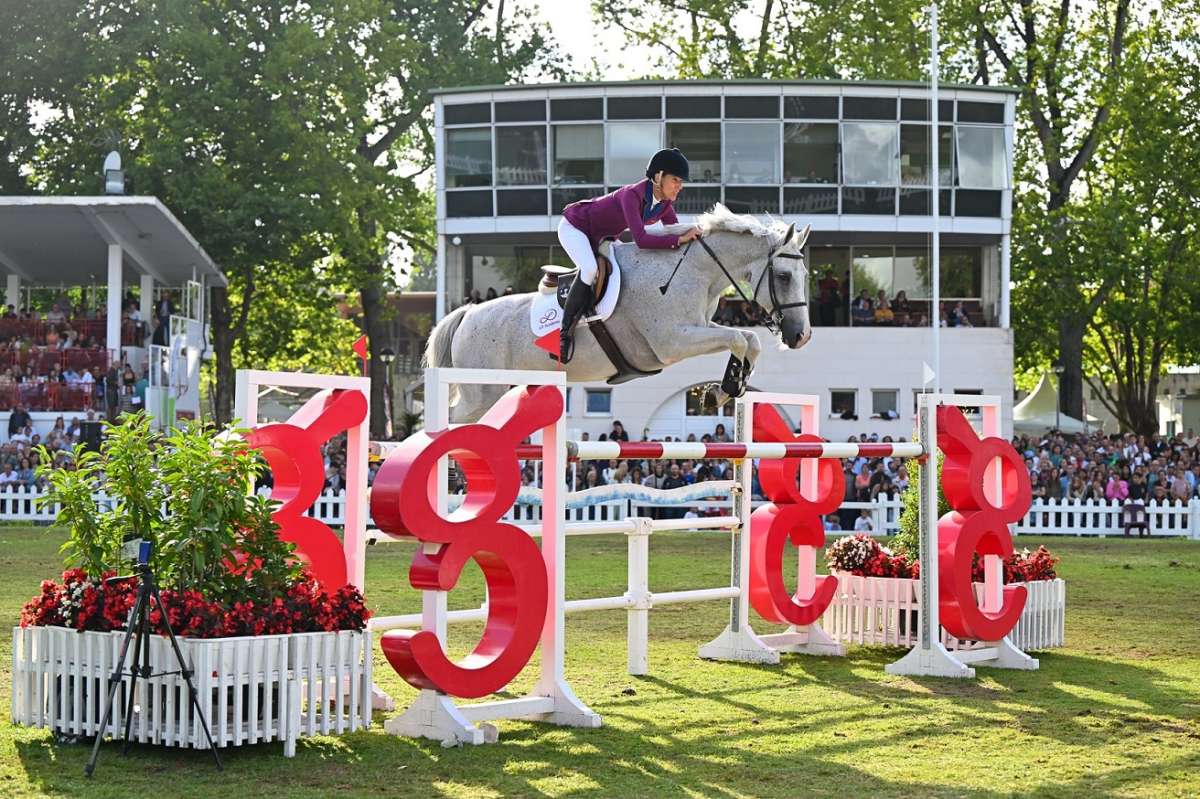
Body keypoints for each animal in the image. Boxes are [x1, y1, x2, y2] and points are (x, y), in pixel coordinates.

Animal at [424, 202, 816, 419]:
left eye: (805, 276)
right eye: (783, 276)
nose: (801, 336)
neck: (694, 270)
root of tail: (466, 314)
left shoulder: (700, 327)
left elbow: (749, 339)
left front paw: (723, 390)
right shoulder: (673, 342)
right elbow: (739, 337)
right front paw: (723, 389)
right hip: (481, 390)